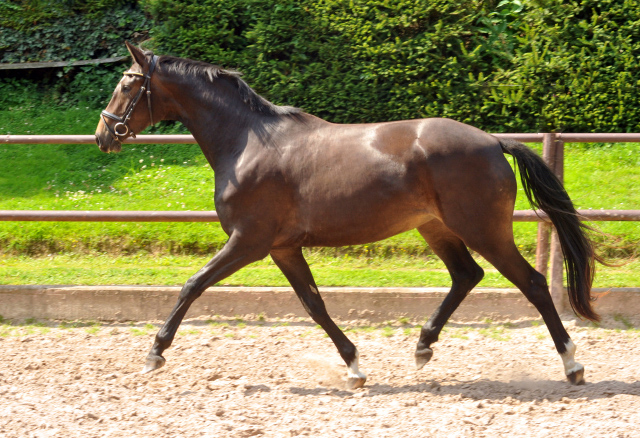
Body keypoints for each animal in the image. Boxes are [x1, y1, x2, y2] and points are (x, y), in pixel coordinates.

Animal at [95, 43, 600, 386]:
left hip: (483, 229)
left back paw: (572, 364)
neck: (246, 142)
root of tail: (493, 142)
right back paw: (422, 347)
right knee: (466, 275)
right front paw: (354, 366)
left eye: (126, 83)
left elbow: (192, 285)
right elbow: (314, 304)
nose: (103, 134)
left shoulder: (249, 241)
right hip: (436, 227)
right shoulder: (282, 249)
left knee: (531, 282)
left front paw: (155, 353)